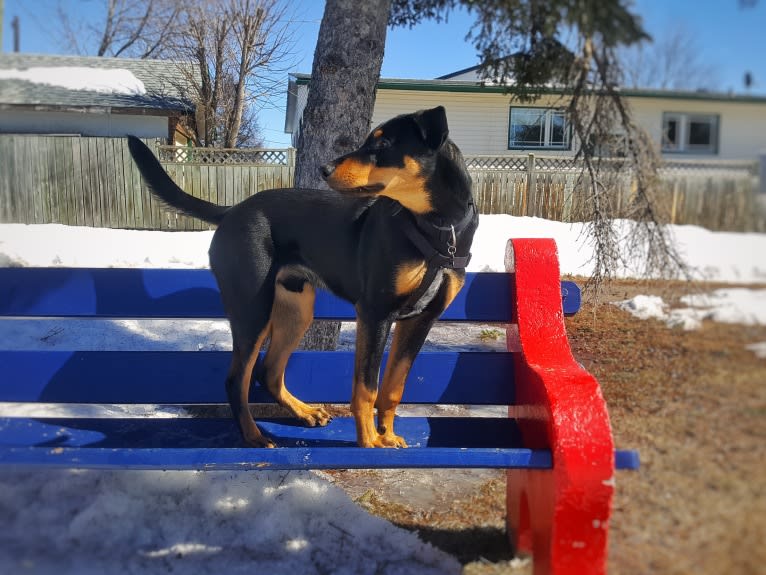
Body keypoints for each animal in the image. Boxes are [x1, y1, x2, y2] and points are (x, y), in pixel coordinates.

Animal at [130, 107, 480, 450]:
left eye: (384, 143)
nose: (325, 169)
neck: (438, 228)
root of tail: (230, 211)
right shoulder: (375, 313)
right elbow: (366, 387)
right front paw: (369, 441)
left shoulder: (421, 320)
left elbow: (394, 387)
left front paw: (388, 434)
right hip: (253, 310)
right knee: (237, 379)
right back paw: (254, 436)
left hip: (295, 309)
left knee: (269, 372)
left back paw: (304, 412)